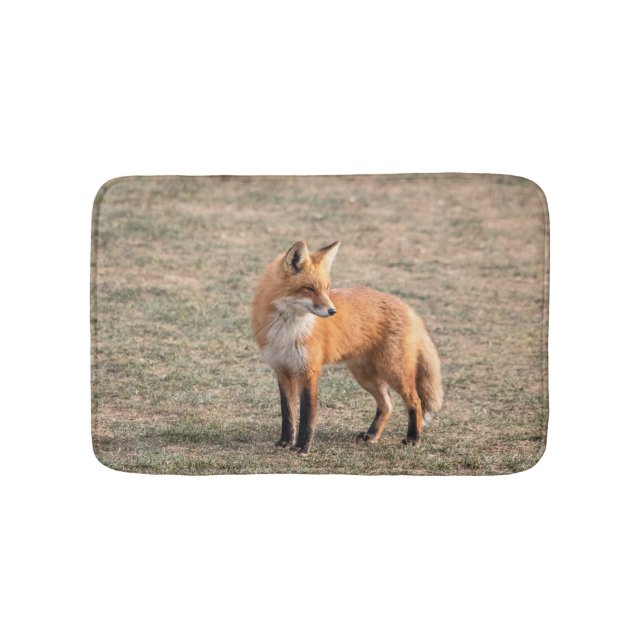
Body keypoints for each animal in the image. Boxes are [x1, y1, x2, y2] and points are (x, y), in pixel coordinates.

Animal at [251, 240, 443, 456]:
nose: (332, 311)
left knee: (415, 401)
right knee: (387, 404)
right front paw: (285, 442)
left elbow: (307, 414)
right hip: (365, 376)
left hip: (394, 371)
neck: (288, 329)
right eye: (309, 288)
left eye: (326, 288)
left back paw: (413, 438)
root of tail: (409, 309)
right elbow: (288, 413)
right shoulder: (282, 370)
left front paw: (302, 446)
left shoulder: (309, 371)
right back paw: (372, 435)